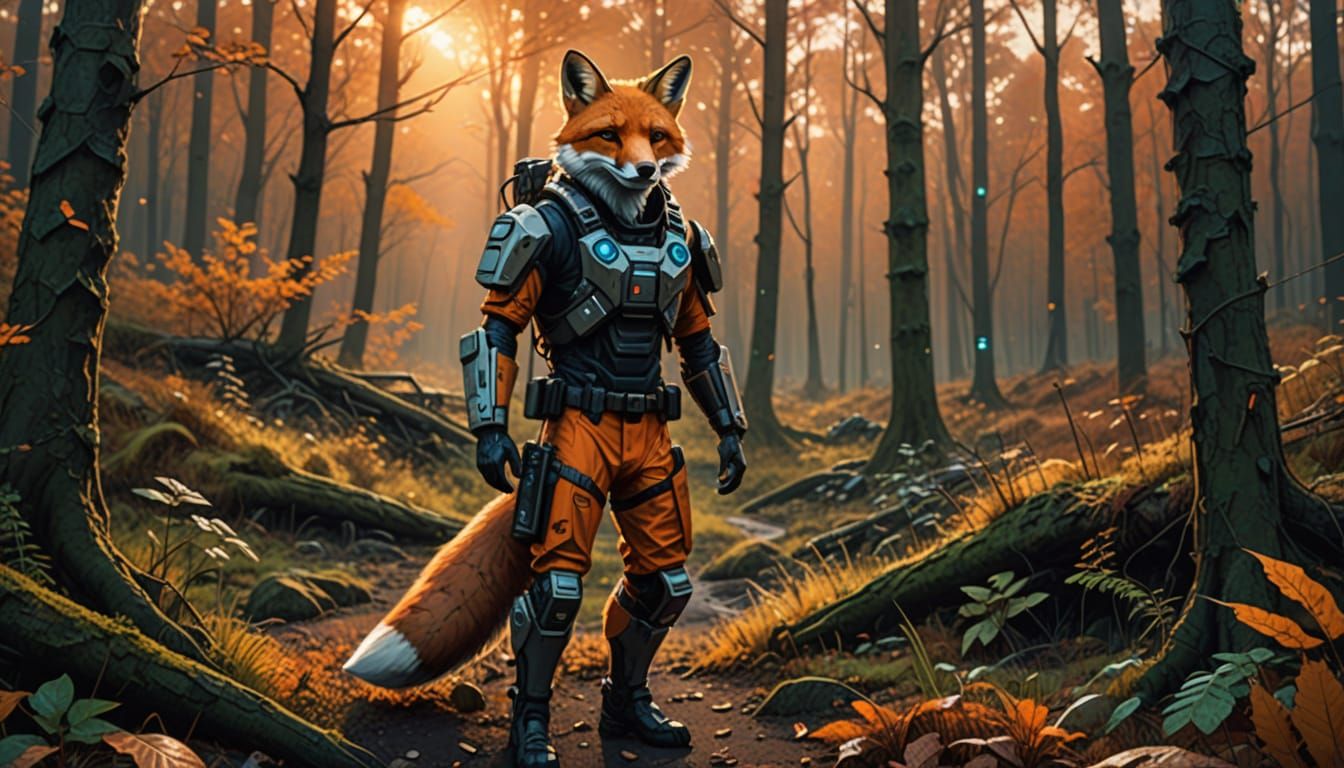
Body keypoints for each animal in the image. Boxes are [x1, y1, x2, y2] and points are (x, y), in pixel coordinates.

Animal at [342, 51, 723, 691]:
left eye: (656, 135)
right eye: (609, 134)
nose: (647, 171)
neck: (625, 225)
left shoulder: (694, 254)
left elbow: (700, 345)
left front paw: (733, 449)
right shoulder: (531, 229)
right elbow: (497, 329)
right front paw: (494, 447)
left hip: (650, 485)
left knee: (660, 582)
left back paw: (629, 703)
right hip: (570, 479)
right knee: (556, 592)